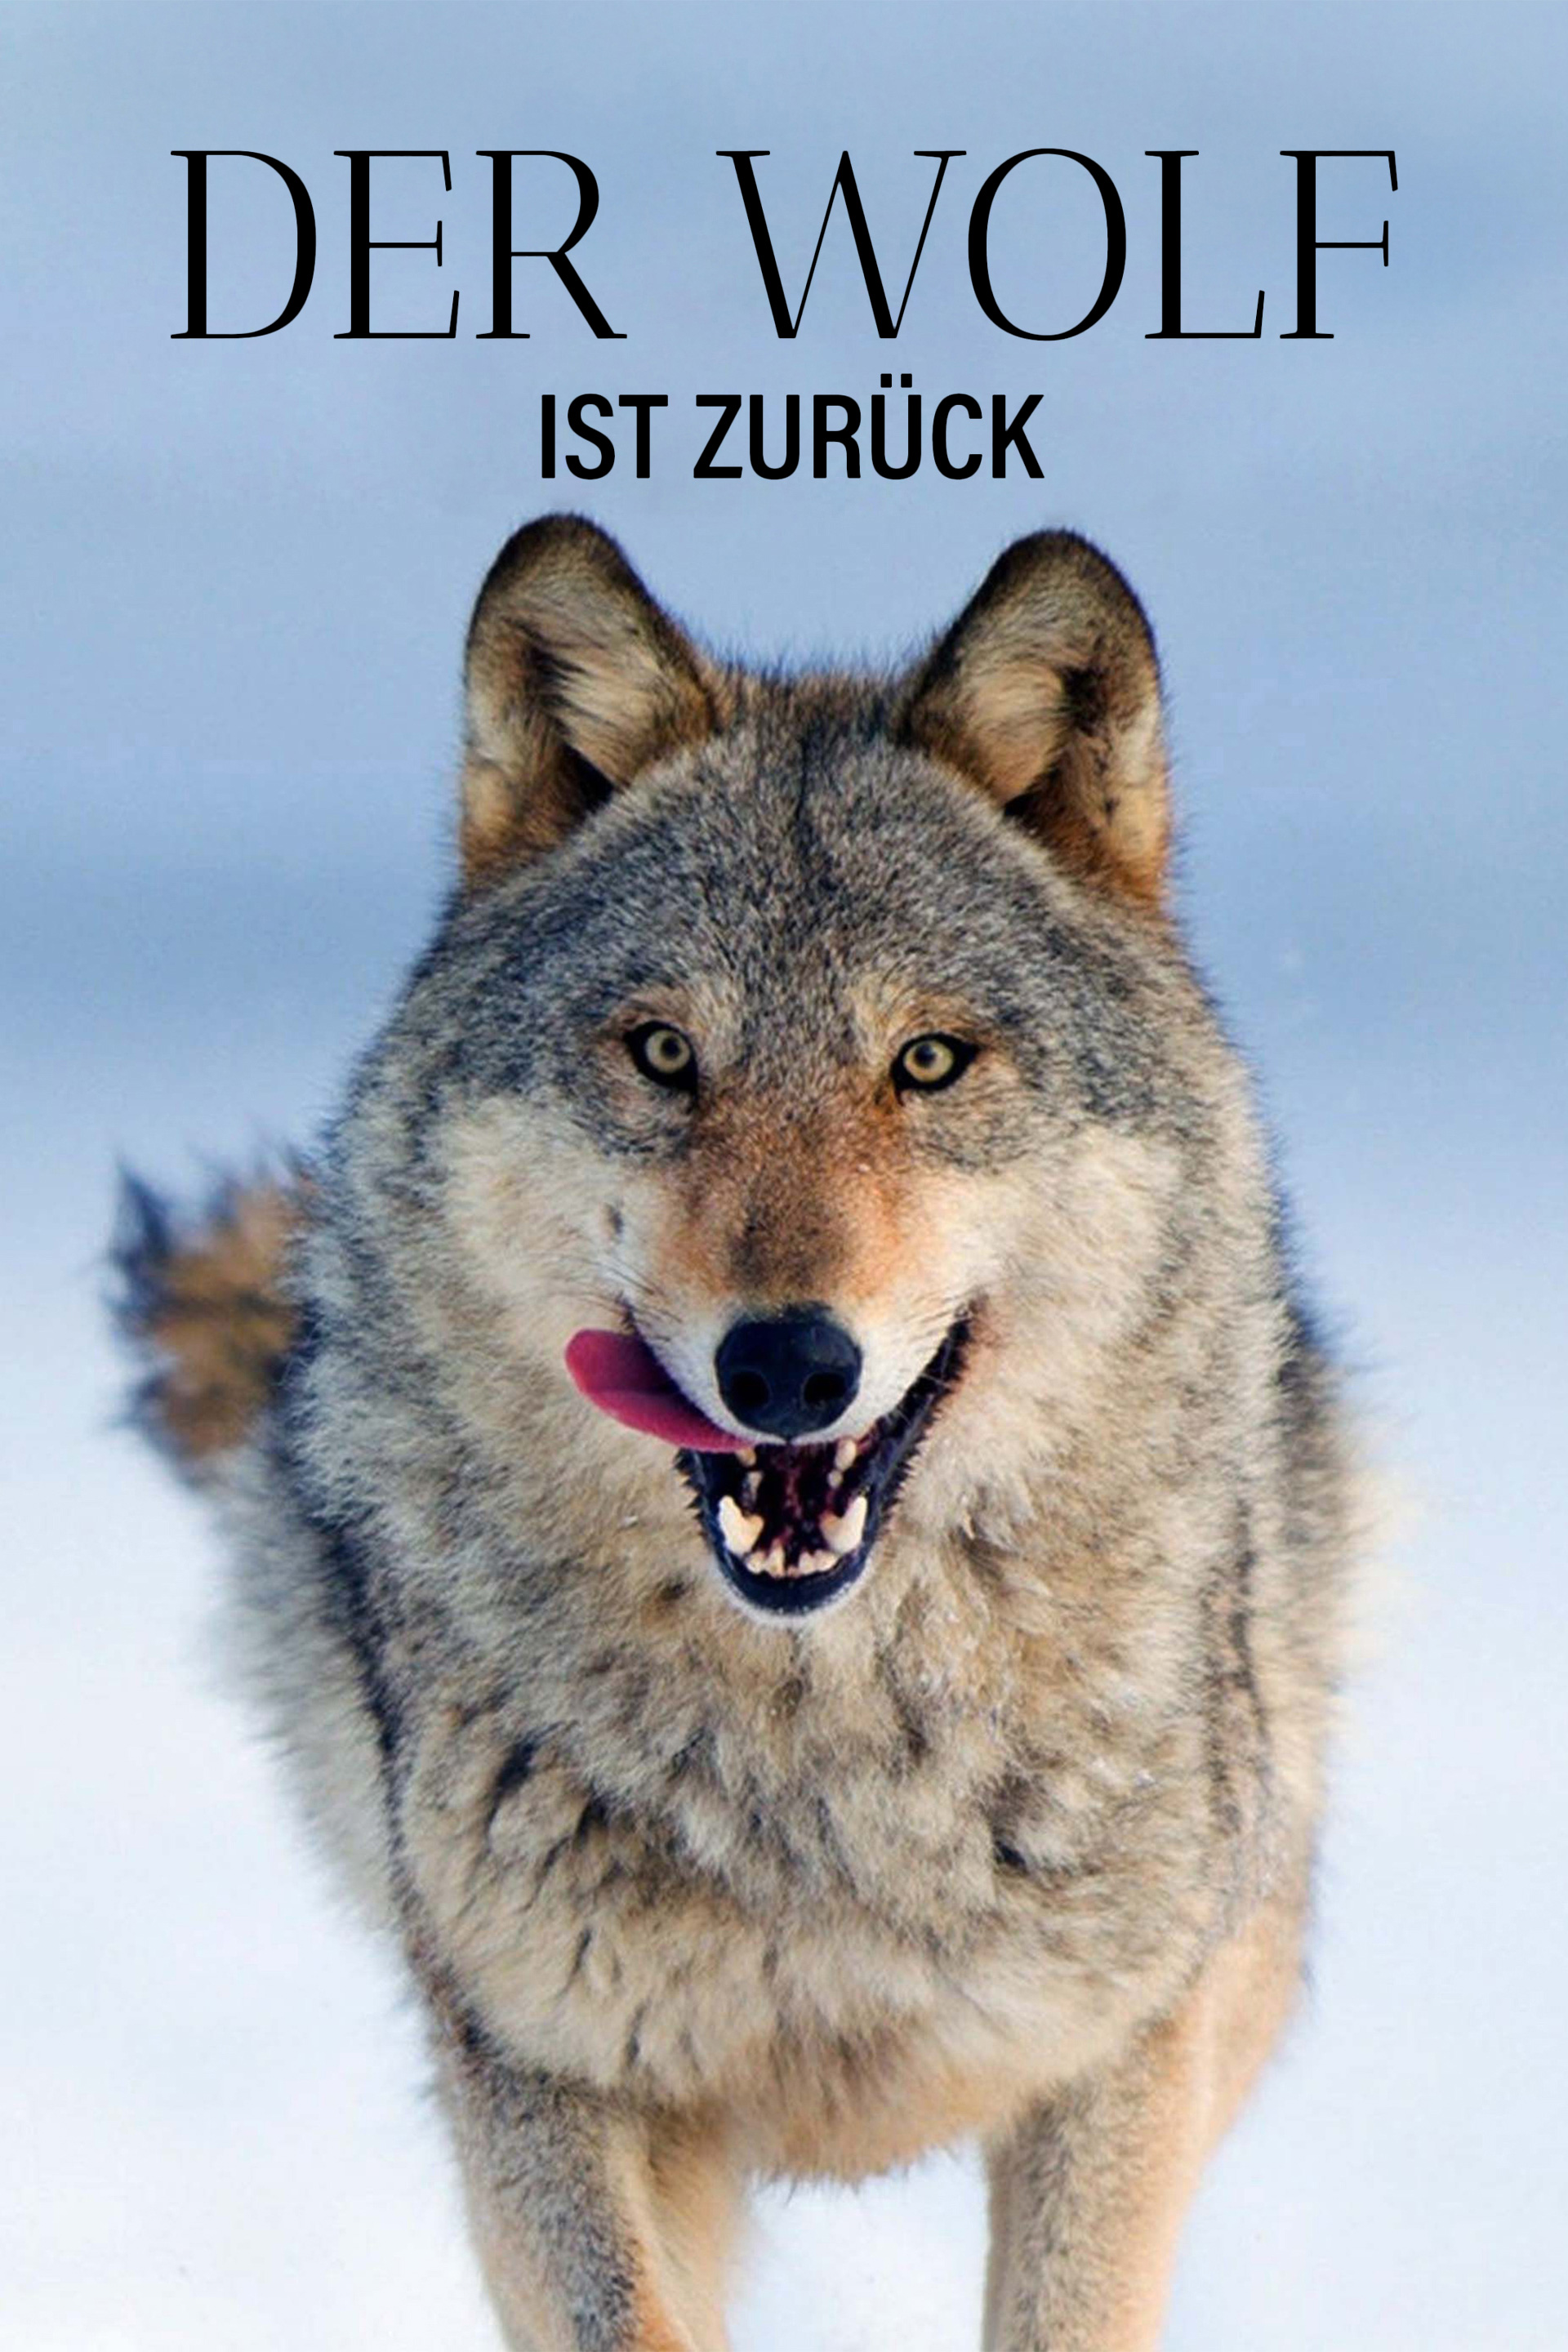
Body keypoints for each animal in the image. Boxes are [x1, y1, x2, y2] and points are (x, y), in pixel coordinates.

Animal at [114, 515, 1359, 2352]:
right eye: (662, 1054)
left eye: (928, 1062)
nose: (784, 1367)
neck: (826, 1764)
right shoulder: (540, 2066)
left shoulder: (1119, 2055)